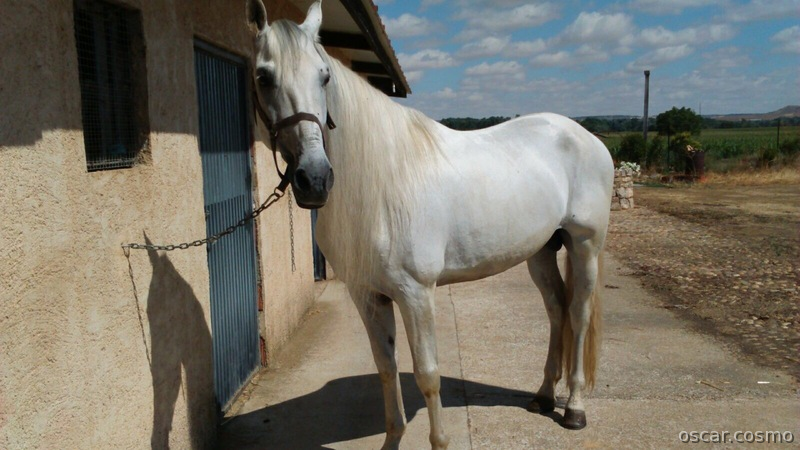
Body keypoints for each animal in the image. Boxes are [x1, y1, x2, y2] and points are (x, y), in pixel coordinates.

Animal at [247, 2, 614, 448]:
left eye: (325, 76)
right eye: (263, 76)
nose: (314, 179)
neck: (382, 183)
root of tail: (586, 137)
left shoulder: (416, 294)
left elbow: (428, 375)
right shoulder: (368, 295)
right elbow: (386, 367)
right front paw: (392, 439)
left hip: (585, 246)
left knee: (578, 313)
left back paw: (574, 408)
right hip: (542, 251)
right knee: (557, 308)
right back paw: (544, 396)